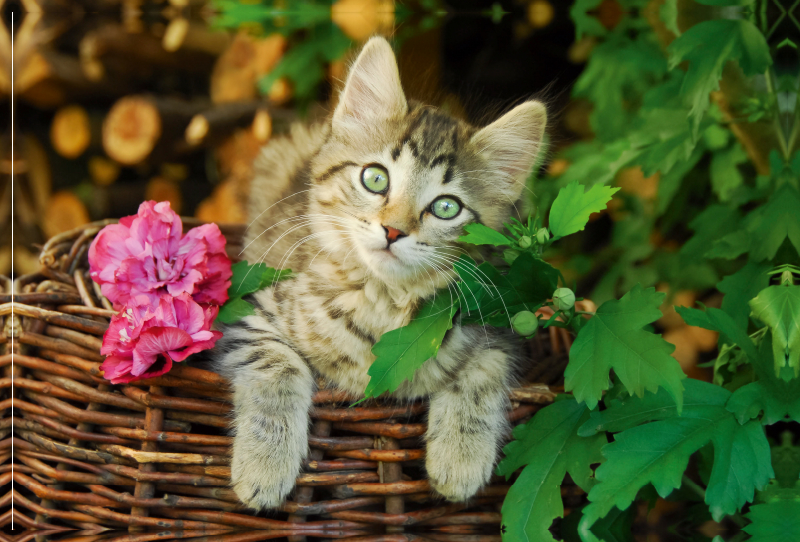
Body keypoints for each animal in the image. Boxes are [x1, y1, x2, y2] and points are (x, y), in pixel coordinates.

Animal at [212, 36, 552, 512]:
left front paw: (460, 459)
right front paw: (265, 465)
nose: (393, 230)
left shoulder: (498, 328)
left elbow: (483, 372)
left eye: (446, 207)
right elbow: (277, 367)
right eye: (375, 179)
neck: (383, 300)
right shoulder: (251, 310)